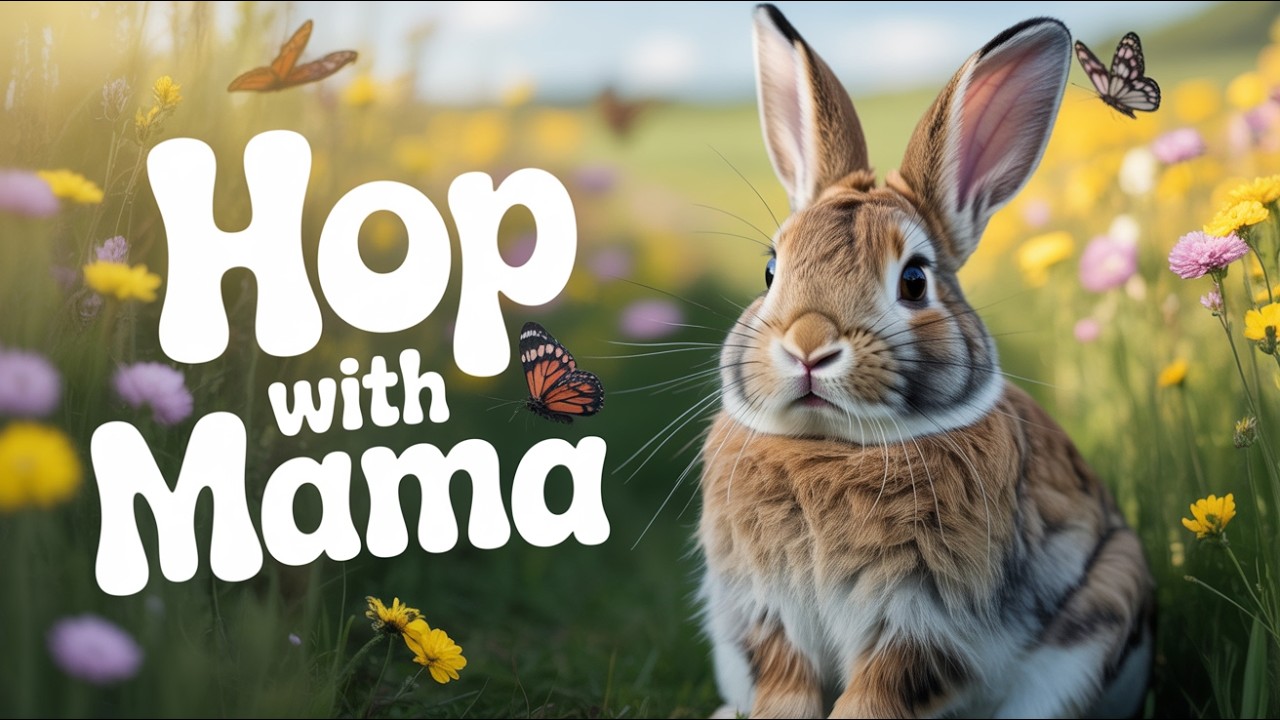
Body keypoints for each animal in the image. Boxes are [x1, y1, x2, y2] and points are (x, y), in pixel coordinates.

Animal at [696, 5, 1154, 719]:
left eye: (914, 281)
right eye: (771, 270)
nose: (807, 346)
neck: (832, 446)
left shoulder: (924, 624)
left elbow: (877, 695)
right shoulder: (767, 617)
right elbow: (784, 690)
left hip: (1105, 601)